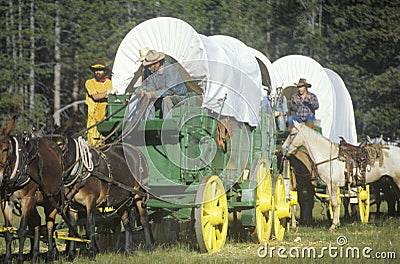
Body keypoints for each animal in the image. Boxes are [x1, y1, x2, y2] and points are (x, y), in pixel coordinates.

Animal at [0, 117, 63, 264]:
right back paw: (35, 255)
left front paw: (20, 259)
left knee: (50, 225)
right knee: (37, 223)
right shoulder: (5, 201)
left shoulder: (27, 199)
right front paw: (8, 259)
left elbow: (22, 230)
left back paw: (50, 255)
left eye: (5, 149)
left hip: (52, 199)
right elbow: (8, 232)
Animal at [48, 118, 152, 258]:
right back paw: (127, 250)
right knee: (127, 222)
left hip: (140, 193)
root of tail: (137, 151)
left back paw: (149, 247)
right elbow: (72, 228)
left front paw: (91, 252)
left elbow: (90, 226)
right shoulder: (72, 206)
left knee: (144, 219)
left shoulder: (91, 200)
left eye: (60, 144)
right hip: (120, 198)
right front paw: (71, 254)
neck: (80, 171)